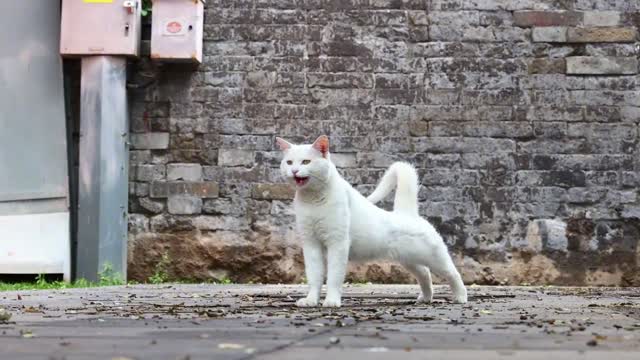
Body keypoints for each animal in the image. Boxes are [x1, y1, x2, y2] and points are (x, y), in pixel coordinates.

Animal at [278, 135, 468, 306]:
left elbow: (333, 277)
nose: (294, 171)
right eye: (289, 162)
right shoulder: (311, 244)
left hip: (434, 257)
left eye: (305, 162)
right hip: (409, 260)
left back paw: (460, 297)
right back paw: (426, 298)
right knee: (425, 274)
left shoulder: (337, 243)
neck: (313, 199)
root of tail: (408, 213)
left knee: (453, 273)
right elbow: (314, 276)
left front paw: (331, 301)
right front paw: (311, 300)